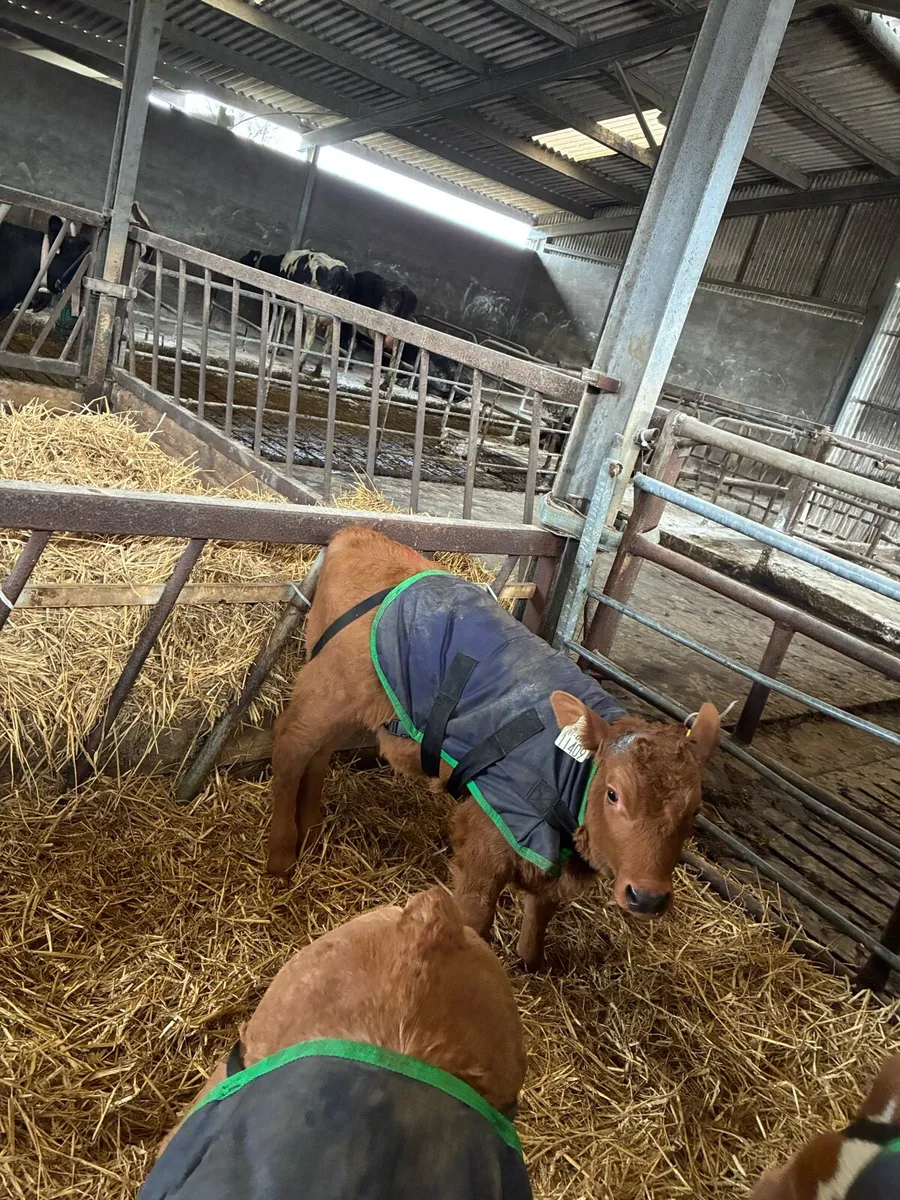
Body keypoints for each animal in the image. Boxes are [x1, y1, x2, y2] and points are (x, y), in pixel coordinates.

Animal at [267, 527, 721, 971]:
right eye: (613, 794)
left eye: (694, 810)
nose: (648, 897)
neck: (567, 770)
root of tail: (358, 532)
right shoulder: (487, 832)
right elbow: (477, 914)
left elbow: (542, 911)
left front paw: (533, 961)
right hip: (328, 689)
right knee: (291, 746)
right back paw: (282, 854)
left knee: (318, 756)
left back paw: (311, 829)